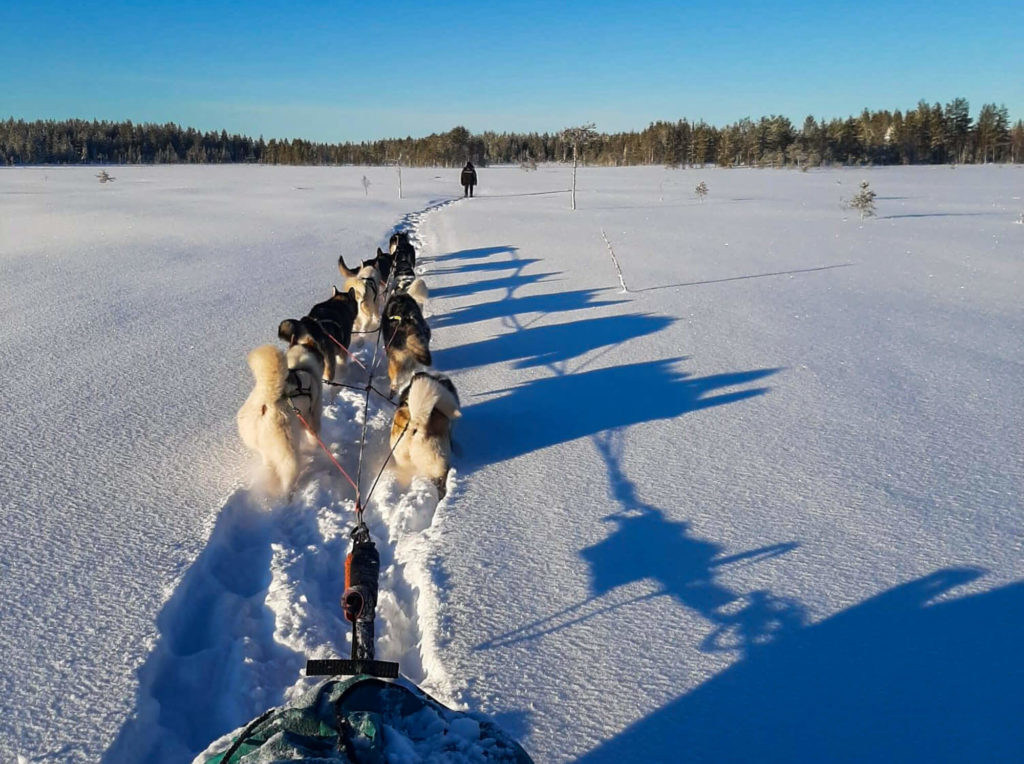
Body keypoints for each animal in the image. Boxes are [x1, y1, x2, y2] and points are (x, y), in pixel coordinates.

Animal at [236, 340, 323, 493]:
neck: (301, 366)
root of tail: (267, 401)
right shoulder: (313, 418)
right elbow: (314, 438)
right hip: (289, 452)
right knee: (288, 475)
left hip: (263, 448)